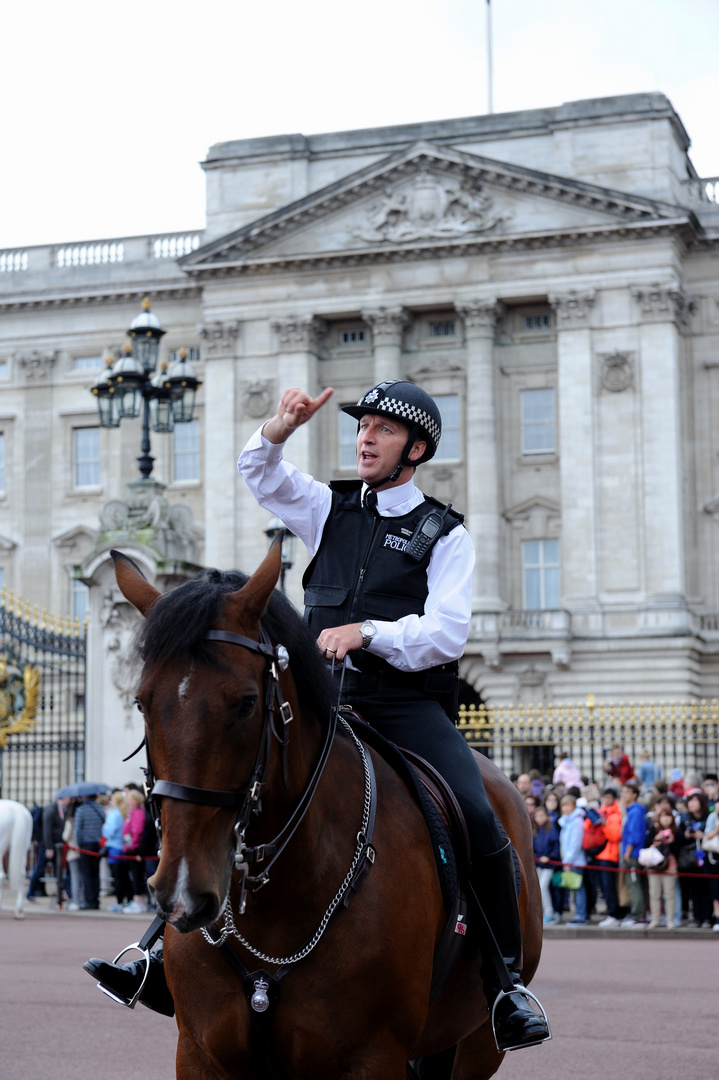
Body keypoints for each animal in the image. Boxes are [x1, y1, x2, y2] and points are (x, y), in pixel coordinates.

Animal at [112, 548, 537, 1080]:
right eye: (141, 702)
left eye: (246, 704)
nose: (183, 894)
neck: (280, 903)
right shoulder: (199, 1052)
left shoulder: (373, 1058)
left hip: (476, 1043)